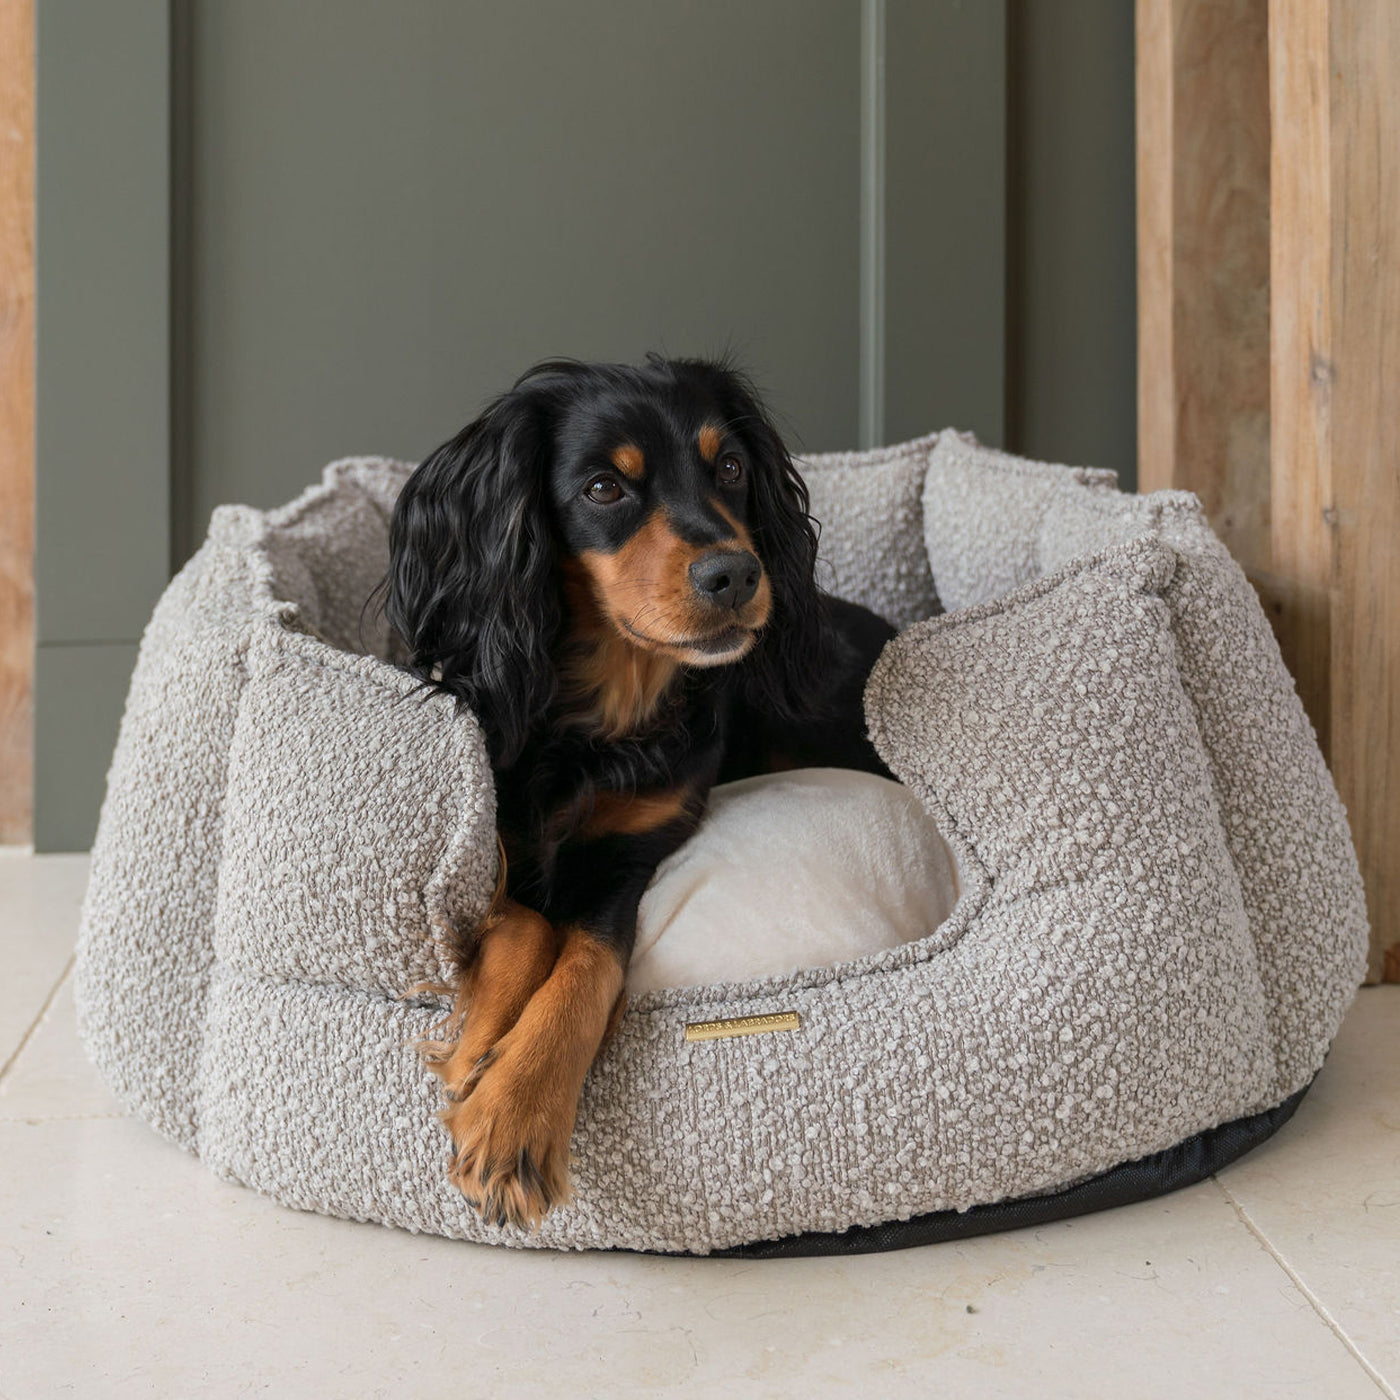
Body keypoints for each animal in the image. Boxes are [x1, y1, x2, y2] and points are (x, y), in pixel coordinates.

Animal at [386, 355, 896, 1232]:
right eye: (603, 488)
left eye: (731, 467)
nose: (735, 574)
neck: (599, 717)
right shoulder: (500, 838)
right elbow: (524, 921)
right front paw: (482, 1045)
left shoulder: (631, 854)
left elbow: (590, 962)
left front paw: (514, 1117)